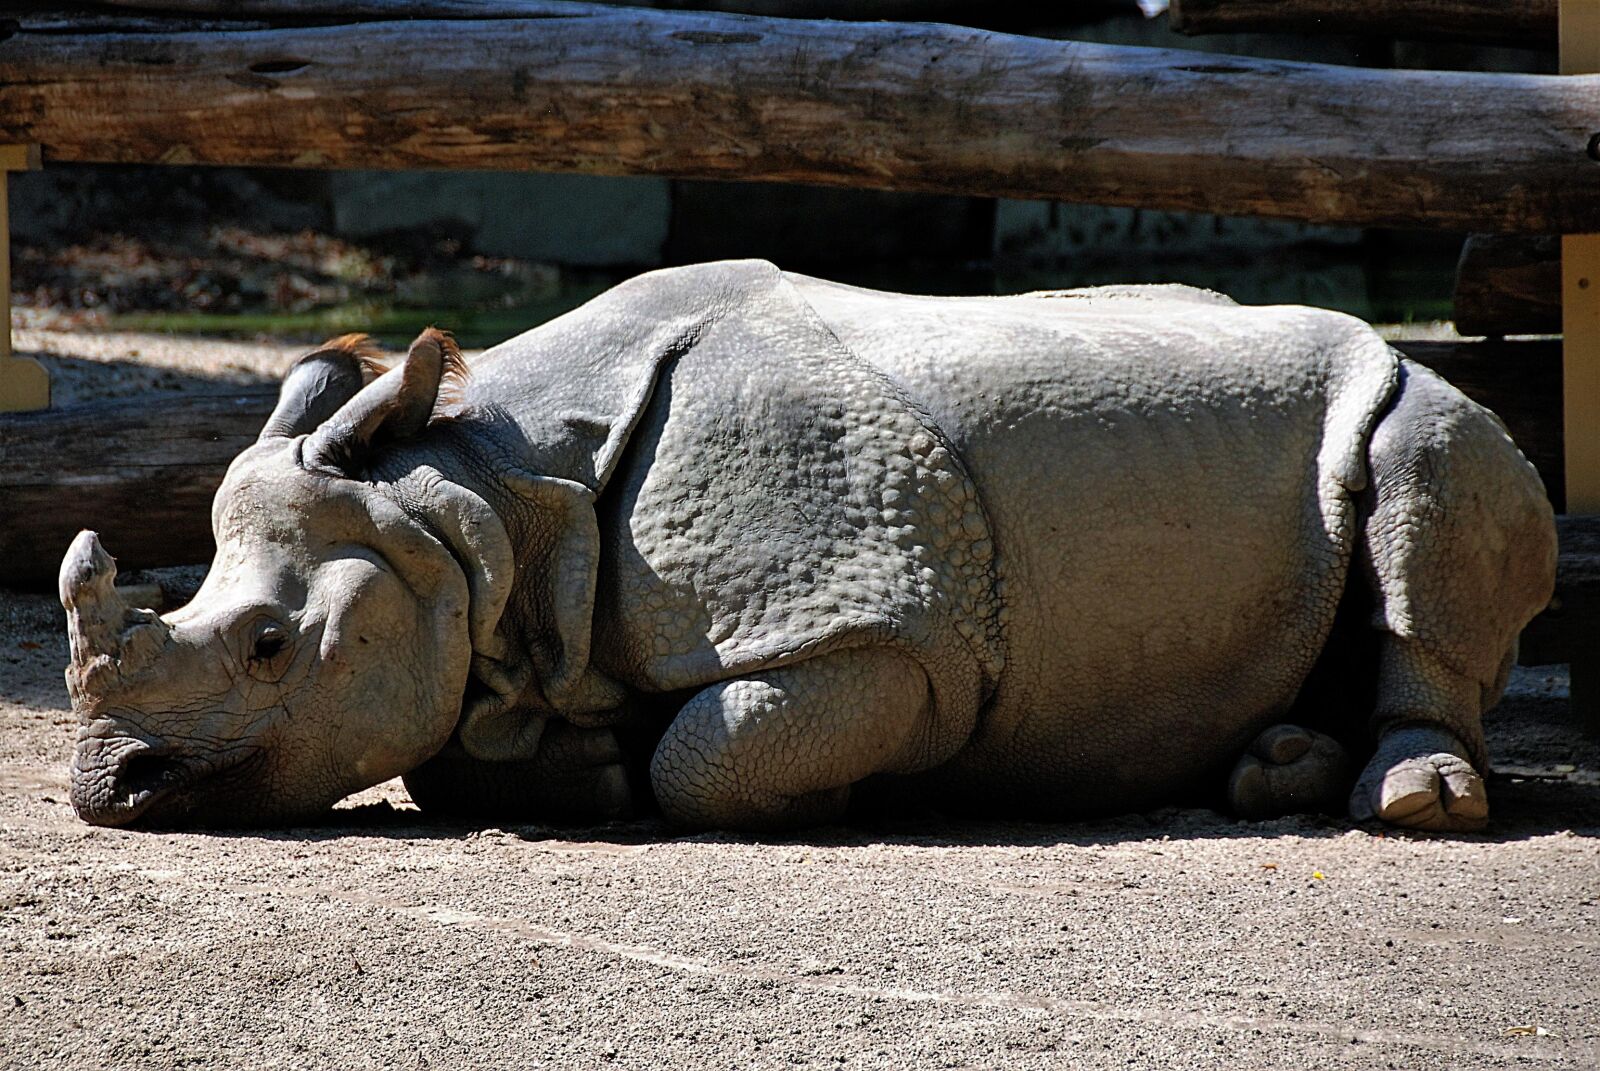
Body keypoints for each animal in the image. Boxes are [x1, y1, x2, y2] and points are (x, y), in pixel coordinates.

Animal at [60, 260, 1556, 833]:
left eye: (269, 646)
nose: (107, 791)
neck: (479, 490)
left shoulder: (879, 623)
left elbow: (709, 755)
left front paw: (825, 793)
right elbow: (459, 744)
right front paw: (581, 766)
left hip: (1423, 395)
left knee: (1429, 472)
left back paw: (1410, 799)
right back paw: (1273, 768)